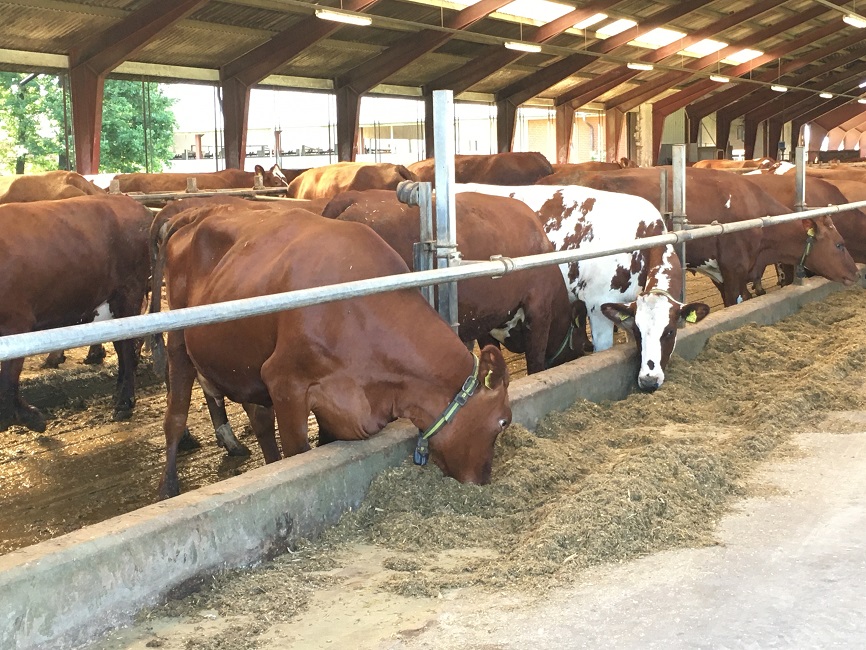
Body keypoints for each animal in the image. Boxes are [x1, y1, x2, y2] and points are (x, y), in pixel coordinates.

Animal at [0, 194, 153, 432]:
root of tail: (132, 203)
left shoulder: (16, 322)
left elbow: (7, 382)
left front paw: (31, 418)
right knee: (122, 348)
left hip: (129, 293)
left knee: (129, 349)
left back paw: (124, 403)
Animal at [150, 203, 512, 498]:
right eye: (503, 422)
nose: (483, 480)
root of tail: (194, 213)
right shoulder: (285, 382)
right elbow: (299, 453)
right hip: (179, 340)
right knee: (175, 416)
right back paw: (168, 488)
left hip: (244, 360)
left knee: (259, 418)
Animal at [321, 189, 587, 373]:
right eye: (580, 334)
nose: (588, 348)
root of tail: (356, 197)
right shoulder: (538, 310)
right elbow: (536, 362)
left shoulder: (488, 319)